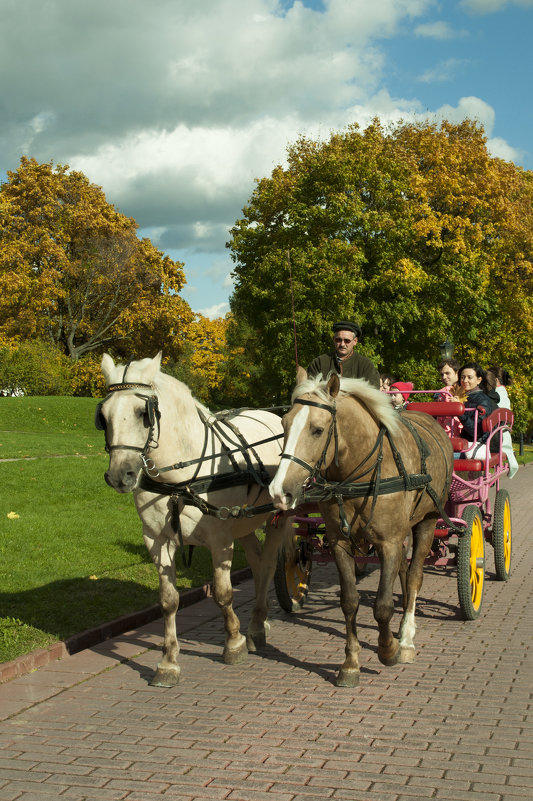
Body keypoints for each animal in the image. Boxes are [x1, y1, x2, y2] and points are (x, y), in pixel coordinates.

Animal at [98, 354, 290, 684]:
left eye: (142, 413)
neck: (179, 480)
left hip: (277, 517)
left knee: (267, 565)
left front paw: (233, 643)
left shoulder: (220, 539)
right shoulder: (156, 540)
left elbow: (223, 593)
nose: (119, 475)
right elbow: (168, 601)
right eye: (104, 416)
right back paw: (259, 621)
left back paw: (254, 628)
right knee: (256, 561)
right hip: (244, 522)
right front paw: (168, 661)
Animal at [270, 368, 454, 688]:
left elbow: (382, 605)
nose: (279, 491)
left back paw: (406, 638)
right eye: (284, 424)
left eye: (317, 430)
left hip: (428, 521)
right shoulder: (340, 543)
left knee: (414, 576)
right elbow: (350, 601)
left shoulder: (389, 543)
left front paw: (388, 649)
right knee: (404, 572)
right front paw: (351, 663)